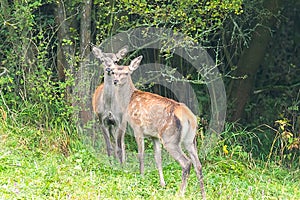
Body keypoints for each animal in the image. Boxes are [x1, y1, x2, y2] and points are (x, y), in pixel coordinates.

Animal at [109, 55, 206, 198]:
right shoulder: (154, 136)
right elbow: (158, 158)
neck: (128, 101)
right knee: (198, 164)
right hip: (190, 140)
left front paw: (141, 176)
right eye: (113, 72)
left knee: (186, 162)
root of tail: (190, 118)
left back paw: (180, 193)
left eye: (126, 73)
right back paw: (203, 194)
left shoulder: (138, 128)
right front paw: (162, 183)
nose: (115, 81)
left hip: (170, 138)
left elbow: (141, 154)